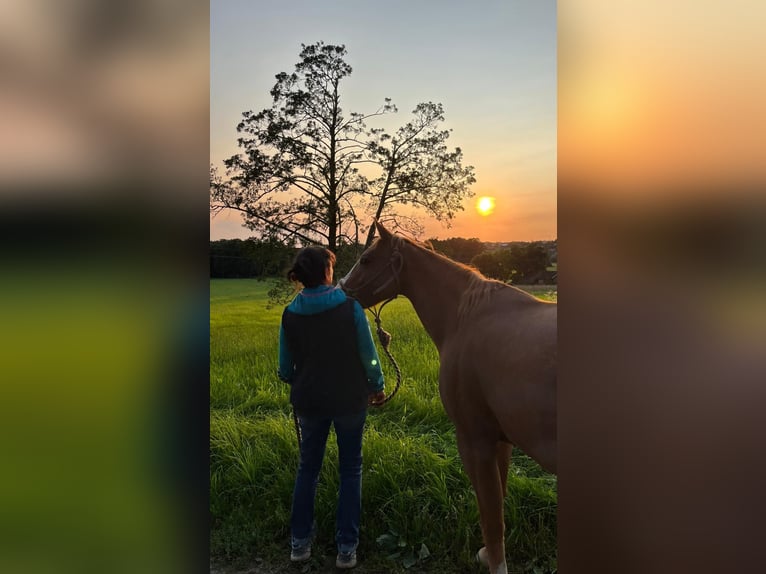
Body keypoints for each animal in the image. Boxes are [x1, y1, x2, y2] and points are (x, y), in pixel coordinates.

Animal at [338, 220, 556, 574]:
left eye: (367, 259)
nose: (341, 291)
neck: (464, 318)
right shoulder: (500, 440)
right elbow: (498, 500)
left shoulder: (475, 440)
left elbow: (491, 515)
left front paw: (494, 562)